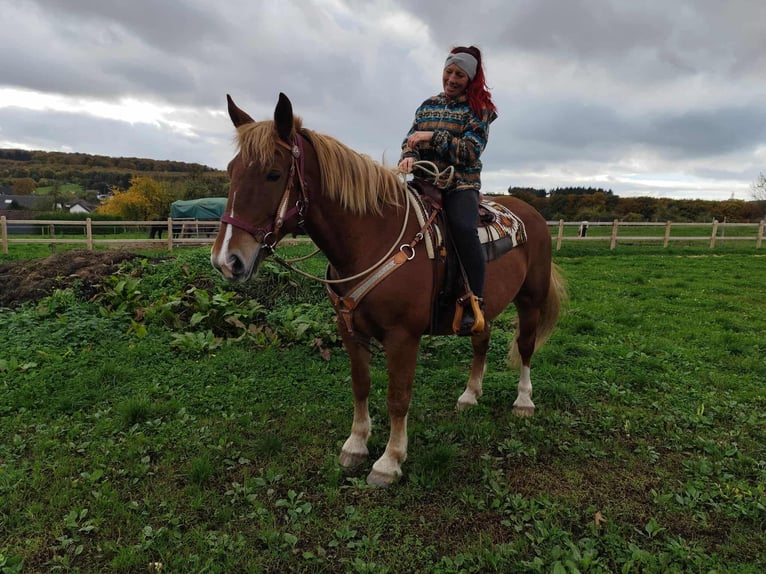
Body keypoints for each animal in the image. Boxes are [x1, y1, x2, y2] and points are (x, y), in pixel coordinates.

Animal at [211, 93, 567, 487]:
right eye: (231, 170)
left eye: (273, 174)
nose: (227, 260)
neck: (371, 238)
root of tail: (532, 215)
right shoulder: (349, 330)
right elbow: (361, 385)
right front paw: (355, 445)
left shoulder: (402, 337)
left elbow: (398, 396)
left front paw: (389, 461)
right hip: (481, 308)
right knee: (481, 341)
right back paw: (470, 395)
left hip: (531, 299)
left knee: (526, 346)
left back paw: (524, 402)